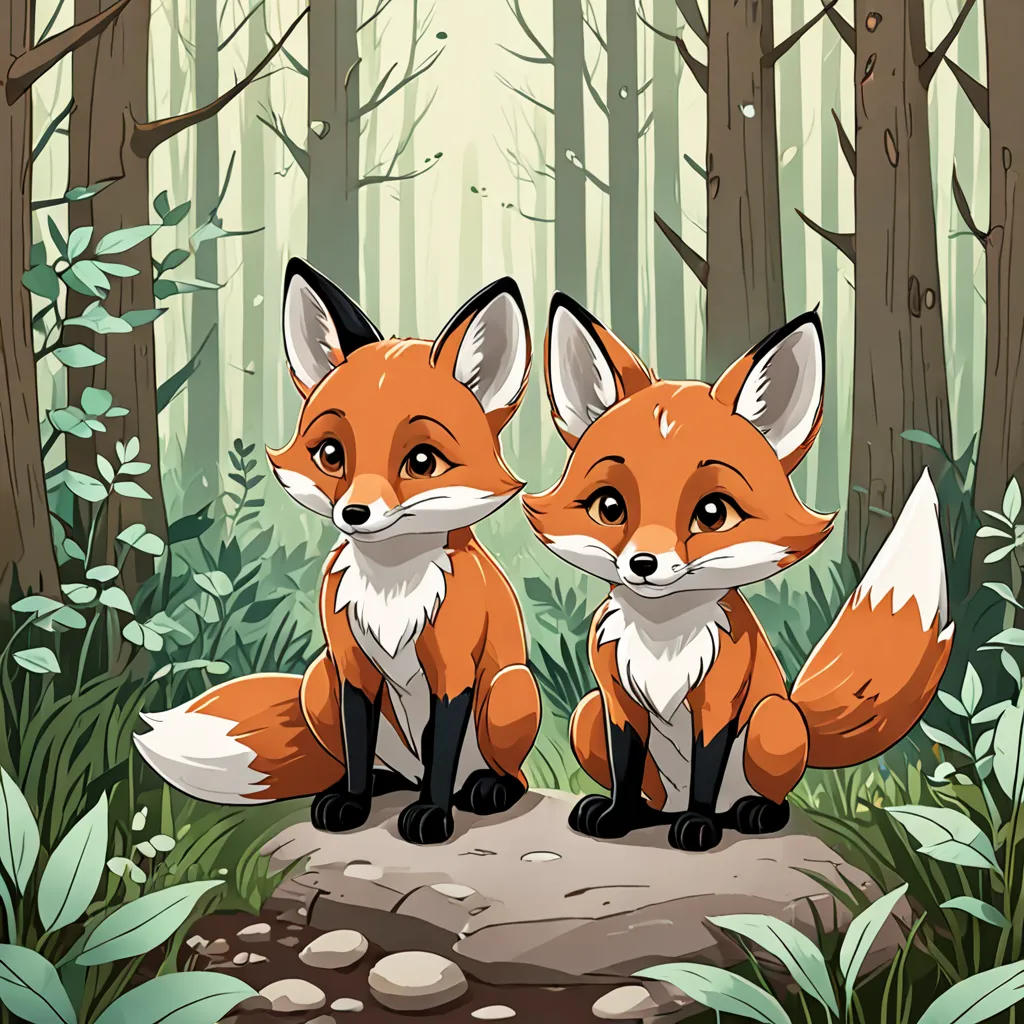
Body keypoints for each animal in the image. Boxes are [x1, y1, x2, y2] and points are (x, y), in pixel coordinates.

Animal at [134, 258, 542, 845]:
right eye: (330, 454)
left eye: (423, 462)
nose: (354, 514)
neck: (392, 587)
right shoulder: (350, 664)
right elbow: (356, 742)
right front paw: (352, 801)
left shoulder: (454, 672)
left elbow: (441, 753)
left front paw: (432, 813)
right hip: (316, 683)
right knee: (384, 764)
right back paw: (378, 785)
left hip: (509, 690)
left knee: (503, 773)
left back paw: (484, 789)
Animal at [523, 292, 954, 852]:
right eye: (610, 507)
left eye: (712, 514)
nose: (643, 565)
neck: (663, 637)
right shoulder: (616, 698)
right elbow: (626, 766)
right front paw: (618, 815)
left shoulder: (720, 698)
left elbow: (707, 771)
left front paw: (699, 826)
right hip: (585, 715)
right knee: (651, 794)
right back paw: (648, 813)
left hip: (772, 721)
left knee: (768, 797)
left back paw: (749, 814)